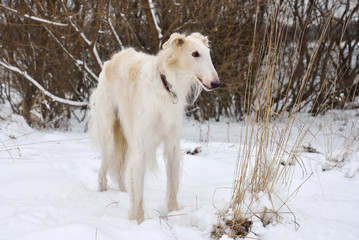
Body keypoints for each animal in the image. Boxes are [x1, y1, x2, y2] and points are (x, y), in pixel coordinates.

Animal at [88, 32, 221, 223]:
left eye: (208, 54)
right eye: (195, 54)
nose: (217, 83)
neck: (166, 87)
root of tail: (113, 58)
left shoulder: (172, 145)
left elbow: (172, 185)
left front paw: (173, 214)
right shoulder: (141, 147)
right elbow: (139, 194)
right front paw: (137, 221)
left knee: (122, 173)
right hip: (110, 136)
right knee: (103, 173)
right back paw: (103, 193)